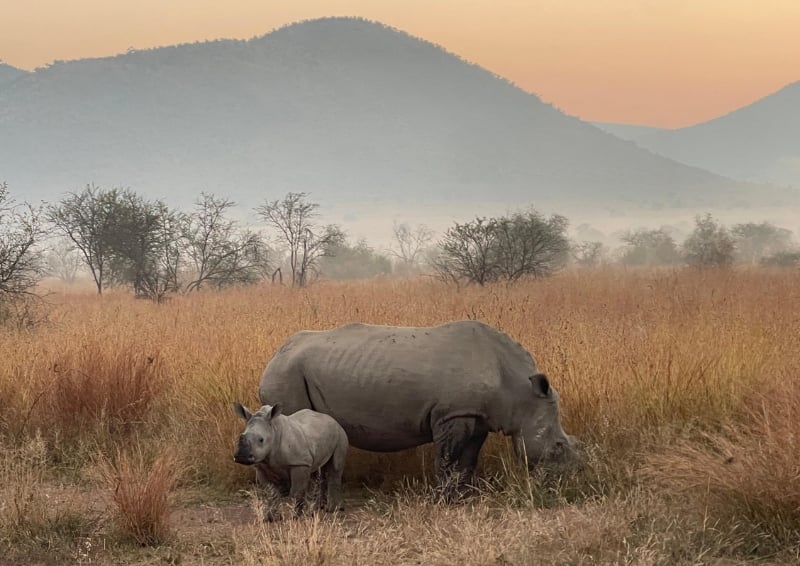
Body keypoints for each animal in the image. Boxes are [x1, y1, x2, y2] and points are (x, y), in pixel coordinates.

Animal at [256, 320, 580, 496]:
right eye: (558, 447)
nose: (569, 481)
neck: (520, 391)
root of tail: (274, 353)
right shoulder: (452, 414)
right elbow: (447, 458)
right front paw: (445, 498)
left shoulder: (476, 416)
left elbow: (468, 459)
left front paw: (466, 495)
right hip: (287, 374)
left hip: (291, 370)